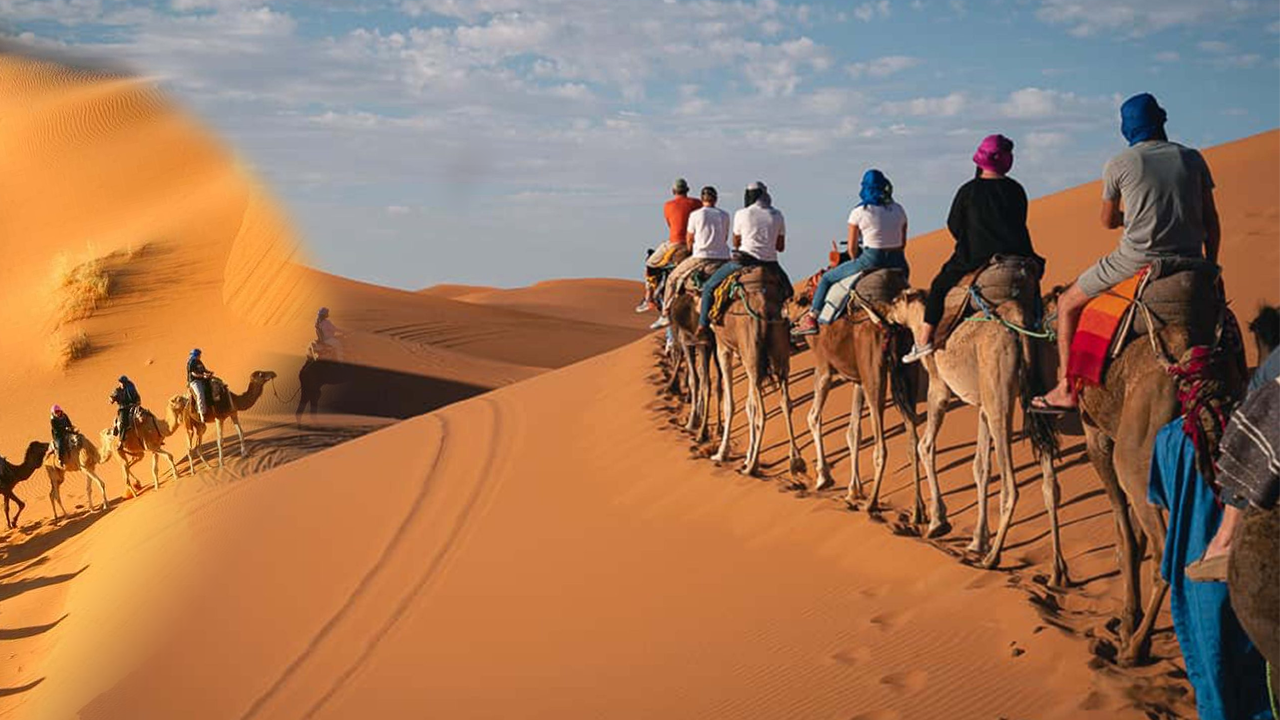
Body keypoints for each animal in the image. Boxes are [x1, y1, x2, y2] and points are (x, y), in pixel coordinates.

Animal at [711, 267, 798, 476]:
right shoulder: (744, 355)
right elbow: (748, 405)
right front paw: (746, 456)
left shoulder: (724, 347)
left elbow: (731, 404)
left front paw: (722, 453)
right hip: (777, 351)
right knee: (785, 401)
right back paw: (796, 460)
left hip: (751, 350)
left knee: (762, 411)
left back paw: (752, 466)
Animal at [885, 280, 1064, 584]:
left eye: (897, 299)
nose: (886, 311)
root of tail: (1019, 326)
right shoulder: (981, 404)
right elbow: (980, 466)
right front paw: (977, 540)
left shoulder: (939, 388)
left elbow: (925, 446)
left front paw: (938, 522)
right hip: (1035, 393)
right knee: (1050, 482)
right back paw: (1057, 572)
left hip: (999, 396)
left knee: (1011, 486)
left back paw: (993, 558)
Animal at [1039, 283, 1249, 666]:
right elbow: (1133, 536)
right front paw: (1128, 617)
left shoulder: (1098, 439)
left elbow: (1127, 537)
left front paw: (1127, 621)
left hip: (1132, 458)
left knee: (1164, 551)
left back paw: (1135, 647)